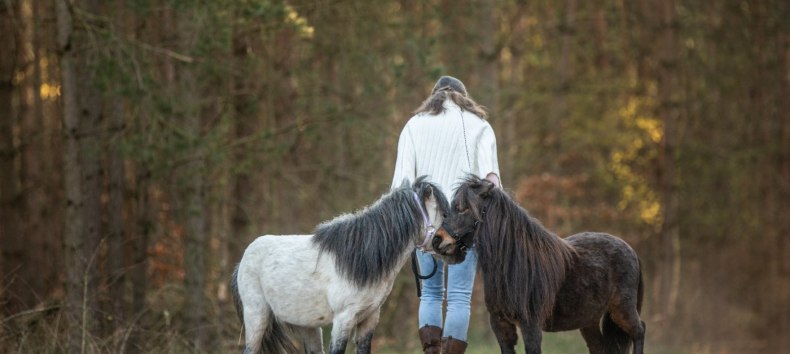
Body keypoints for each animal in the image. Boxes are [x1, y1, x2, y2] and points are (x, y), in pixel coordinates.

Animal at [436, 176, 648, 354]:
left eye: (463, 208)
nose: (437, 240)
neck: (514, 264)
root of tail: (631, 250)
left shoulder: (530, 326)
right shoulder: (501, 325)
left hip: (622, 310)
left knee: (639, 331)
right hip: (590, 320)